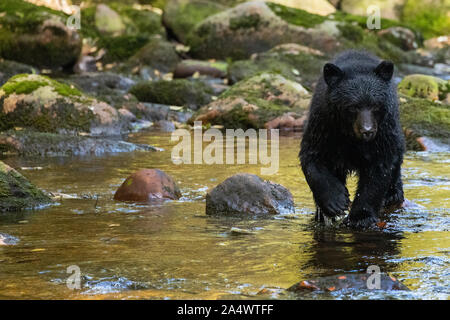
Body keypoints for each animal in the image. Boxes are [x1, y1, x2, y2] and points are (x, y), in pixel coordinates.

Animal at [300, 50, 406, 229]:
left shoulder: (383, 132)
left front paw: (361, 217)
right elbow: (312, 158)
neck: (351, 136)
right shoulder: (323, 125)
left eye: (375, 105)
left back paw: (393, 193)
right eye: (352, 107)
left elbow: (379, 169)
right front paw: (336, 202)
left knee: (397, 155)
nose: (367, 131)